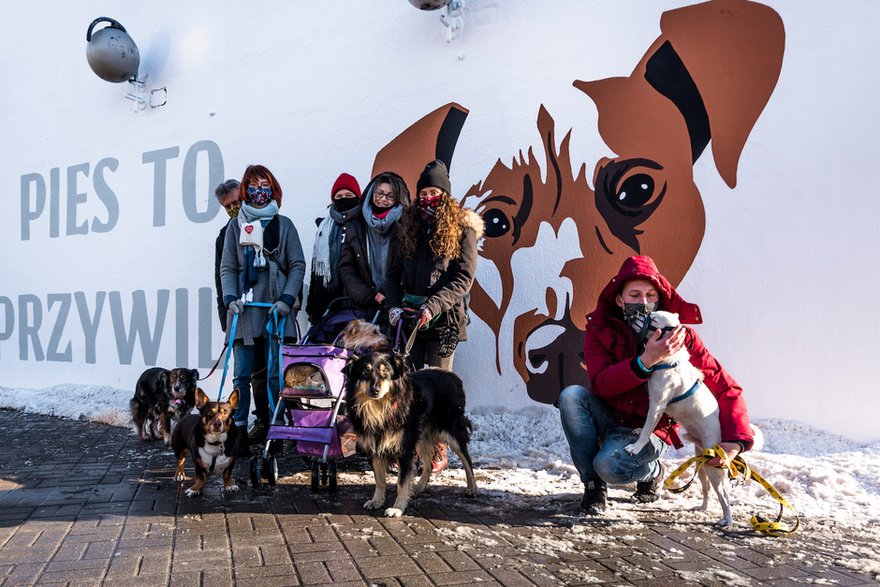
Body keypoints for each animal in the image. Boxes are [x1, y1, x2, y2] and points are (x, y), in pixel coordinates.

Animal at [346, 352, 482, 516]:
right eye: (365, 372)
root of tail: (453, 376)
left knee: (466, 459)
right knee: (429, 464)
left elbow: (401, 482)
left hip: (452, 430)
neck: (380, 409)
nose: (375, 390)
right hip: (421, 437)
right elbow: (379, 480)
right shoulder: (376, 448)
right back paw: (419, 486)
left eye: (386, 372)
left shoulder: (404, 449)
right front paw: (377, 501)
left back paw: (472, 488)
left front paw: (397, 508)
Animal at [624, 312, 732, 528]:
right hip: (702, 467)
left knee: (724, 495)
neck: (668, 360)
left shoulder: (657, 404)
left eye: (654, 320)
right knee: (706, 489)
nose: (634, 314)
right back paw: (702, 508)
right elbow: (647, 426)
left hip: (714, 470)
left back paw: (727, 520)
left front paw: (636, 447)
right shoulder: (655, 404)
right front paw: (638, 431)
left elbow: (648, 428)